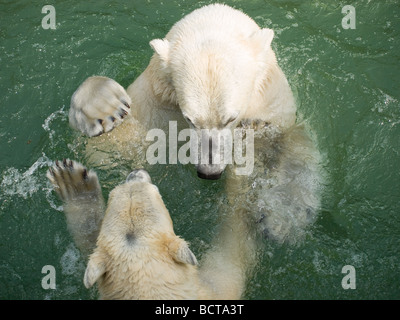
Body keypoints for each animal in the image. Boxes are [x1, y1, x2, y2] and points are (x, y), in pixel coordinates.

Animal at [67, 3, 324, 242]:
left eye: (230, 118)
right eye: (190, 119)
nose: (209, 172)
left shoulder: (272, 103)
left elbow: (294, 144)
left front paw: (283, 217)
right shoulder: (158, 99)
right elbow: (118, 148)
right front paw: (103, 105)